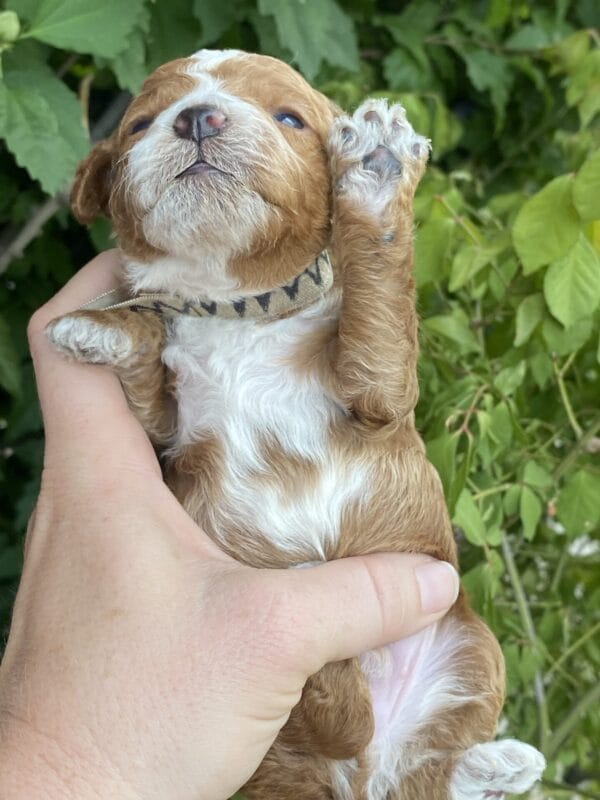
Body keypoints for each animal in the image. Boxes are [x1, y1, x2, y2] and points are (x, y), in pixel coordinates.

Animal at [47, 50, 548, 800]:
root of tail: (362, 773)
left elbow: (379, 323)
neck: (240, 309)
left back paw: (496, 762)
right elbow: (148, 379)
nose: (198, 117)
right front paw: (97, 328)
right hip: (276, 757)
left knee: (433, 762)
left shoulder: (381, 396)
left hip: (472, 645)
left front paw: (375, 169)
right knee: (348, 740)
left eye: (289, 117)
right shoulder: (170, 436)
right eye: (140, 123)